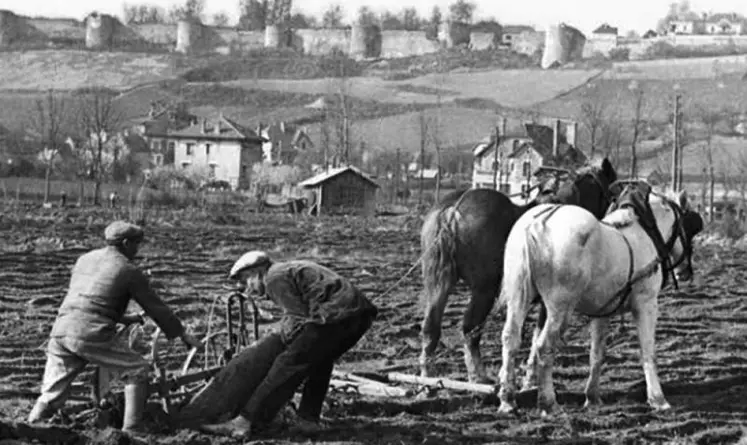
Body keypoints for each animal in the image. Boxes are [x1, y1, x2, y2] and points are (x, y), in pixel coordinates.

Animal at [420, 156, 620, 382]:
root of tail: (453, 210)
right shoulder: (550, 300)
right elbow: (539, 336)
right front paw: (531, 375)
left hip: (438, 283)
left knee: (430, 327)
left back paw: (426, 377)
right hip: (484, 290)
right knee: (470, 329)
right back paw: (479, 376)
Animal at [496, 180, 700, 412]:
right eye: (688, 227)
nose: (686, 272)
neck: (645, 233)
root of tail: (537, 223)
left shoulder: (603, 312)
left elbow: (597, 354)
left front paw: (592, 397)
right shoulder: (647, 304)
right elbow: (648, 351)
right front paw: (658, 399)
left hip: (518, 299)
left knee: (510, 339)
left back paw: (507, 399)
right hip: (560, 308)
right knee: (544, 347)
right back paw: (548, 402)